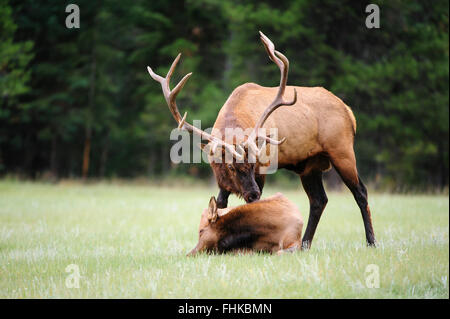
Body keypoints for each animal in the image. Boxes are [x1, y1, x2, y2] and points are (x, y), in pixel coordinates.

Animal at [148, 31, 376, 249]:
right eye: (230, 167)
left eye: (254, 162)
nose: (252, 193)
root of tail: (349, 112)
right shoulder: (222, 180)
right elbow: (220, 205)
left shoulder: (263, 171)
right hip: (311, 164)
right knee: (319, 200)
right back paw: (305, 245)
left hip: (342, 150)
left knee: (361, 192)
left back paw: (371, 242)